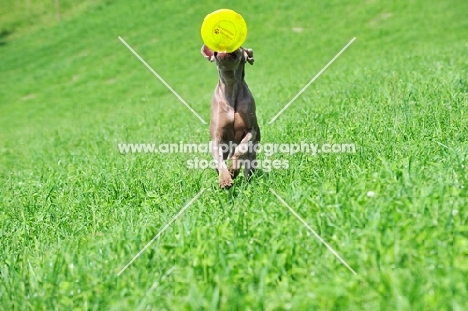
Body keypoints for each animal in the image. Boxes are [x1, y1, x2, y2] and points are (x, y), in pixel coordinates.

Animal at [200, 44, 262, 189]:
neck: (230, 85)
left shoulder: (251, 131)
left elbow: (241, 149)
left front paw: (233, 169)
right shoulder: (216, 138)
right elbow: (219, 160)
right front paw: (225, 179)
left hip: (252, 155)